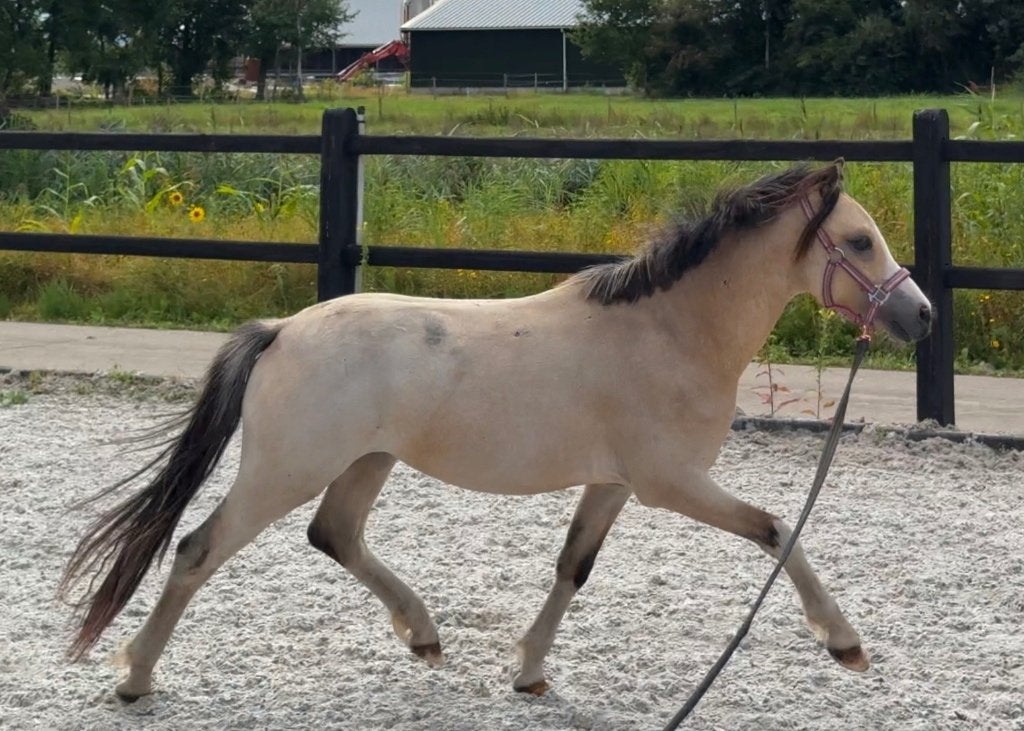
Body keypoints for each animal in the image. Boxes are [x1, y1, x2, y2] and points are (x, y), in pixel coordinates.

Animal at [60, 160, 932, 702]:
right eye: (860, 241)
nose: (920, 314)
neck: (669, 331)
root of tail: (279, 332)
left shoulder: (611, 483)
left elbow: (573, 567)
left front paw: (529, 671)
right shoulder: (671, 483)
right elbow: (778, 529)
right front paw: (845, 642)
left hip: (367, 461)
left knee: (333, 534)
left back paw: (422, 634)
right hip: (287, 468)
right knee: (198, 548)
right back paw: (134, 677)